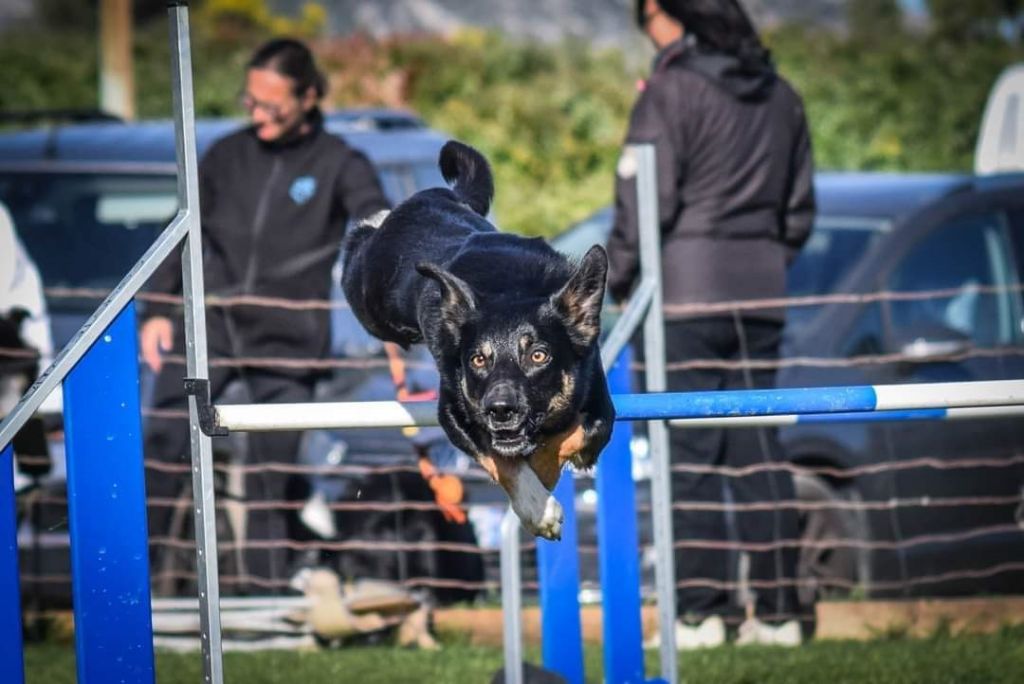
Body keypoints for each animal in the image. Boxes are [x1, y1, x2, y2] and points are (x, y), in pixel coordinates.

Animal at [344, 141, 614, 540]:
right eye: (478, 360)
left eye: (539, 355)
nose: (500, 410)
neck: (512, 288)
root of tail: (434, 196)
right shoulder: (454, 415)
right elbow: (504, 460)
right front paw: (537, 508)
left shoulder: (599, 402)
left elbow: (576, 436)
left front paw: (549, 468)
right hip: (369, 299)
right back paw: (372, 221)